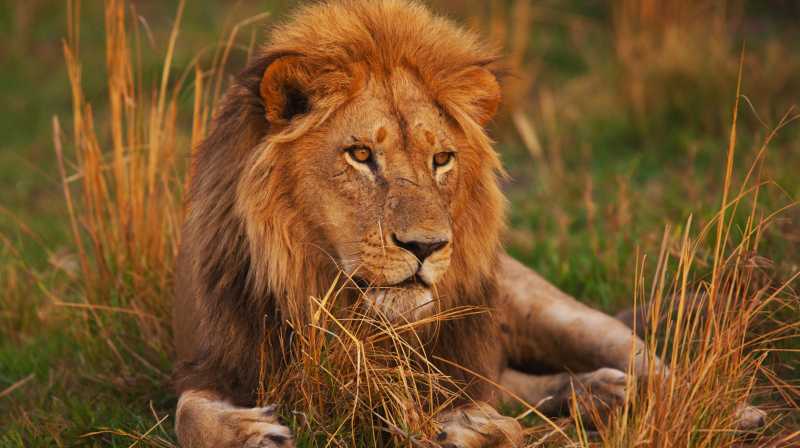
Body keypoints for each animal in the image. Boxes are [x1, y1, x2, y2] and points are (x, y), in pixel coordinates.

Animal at [172, 1, 763, 447]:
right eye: (360, 155)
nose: (426, 246)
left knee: (650, 364)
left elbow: (495, 422)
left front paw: (469, 429)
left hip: (555, 312)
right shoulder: (221, 360)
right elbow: (187, 412)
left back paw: (721, 410)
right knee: (526, 385)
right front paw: (250, 432)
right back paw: (602, 395)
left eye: (441, 160)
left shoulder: (458, 370)